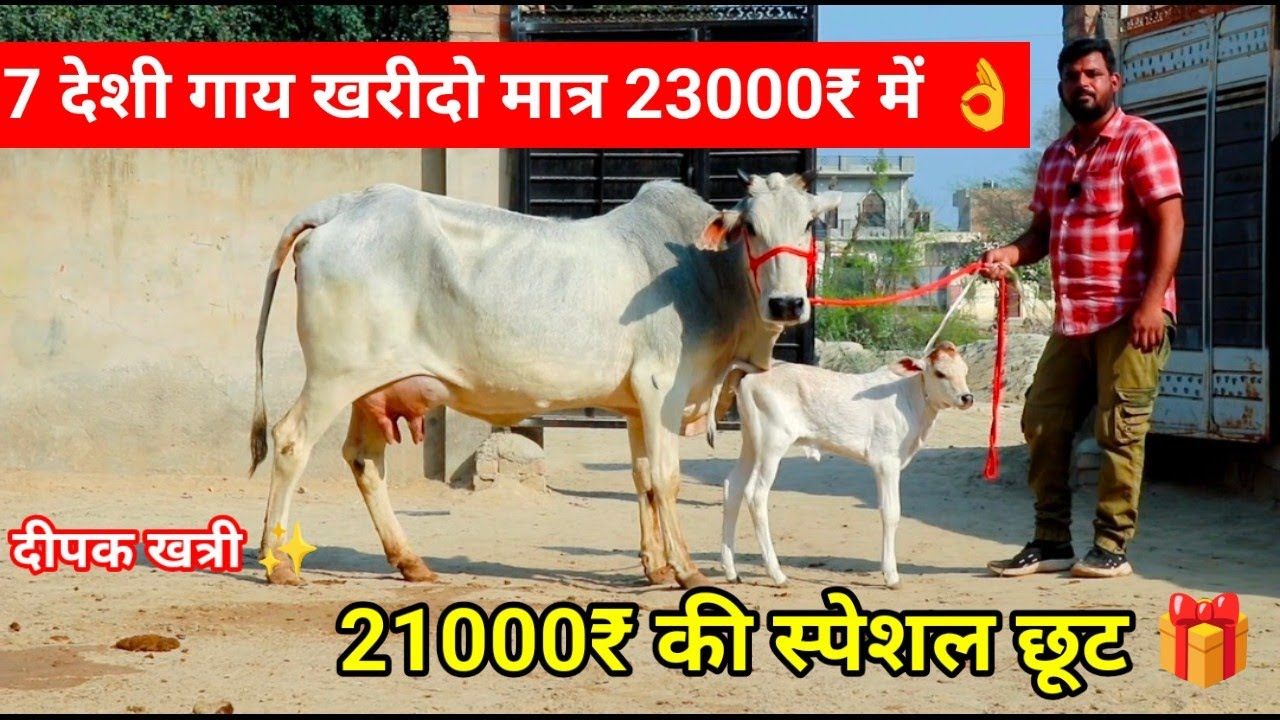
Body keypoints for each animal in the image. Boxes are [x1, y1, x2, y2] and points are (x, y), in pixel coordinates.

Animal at [248, 170, 842, 589]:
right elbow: (667, 478)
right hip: (333, 376)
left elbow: (643, 479)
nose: (787, 304)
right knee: (291, 440)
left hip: (372, 387)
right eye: (752, 228)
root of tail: (345, 205)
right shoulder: (661, 391)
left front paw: (653, 566)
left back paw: (410, 562)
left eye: (808, 225)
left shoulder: (635, 407)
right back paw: (278, 562)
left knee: (365, 460)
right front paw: (686, 569)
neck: (705, 274)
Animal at [707, 342, 974, 589]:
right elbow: (891, 513)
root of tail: (755, 372)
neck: (910, 395)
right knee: (756, 495)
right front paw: (891, 576)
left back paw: (731, 572)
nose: (967, 397)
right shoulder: (886, 462)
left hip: (751, 443)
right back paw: (778, 575)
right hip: (772, 446)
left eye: (965, 371)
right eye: (940, 372)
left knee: (733, 486)